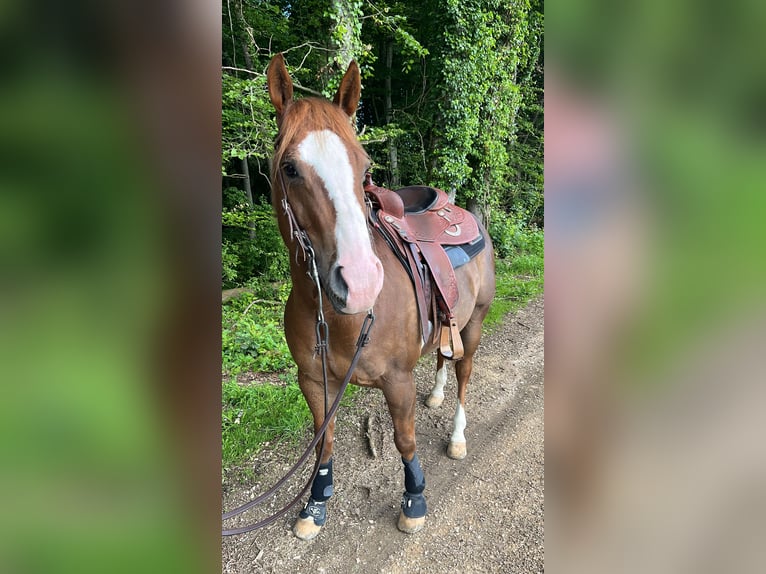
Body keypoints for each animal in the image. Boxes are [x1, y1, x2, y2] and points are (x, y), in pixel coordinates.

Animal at [266, 53, 496, 540]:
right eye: (290, 168)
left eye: (364, 164)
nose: (360, 282)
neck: (339, 318)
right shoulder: (313, 380)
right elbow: (324, 440)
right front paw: (315, 503)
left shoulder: (397, 380)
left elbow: (404, 438)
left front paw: (415, 498)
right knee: (443, 357)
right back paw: (436, 395)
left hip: (475, 322)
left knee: (464, 372)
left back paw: (457, 435)